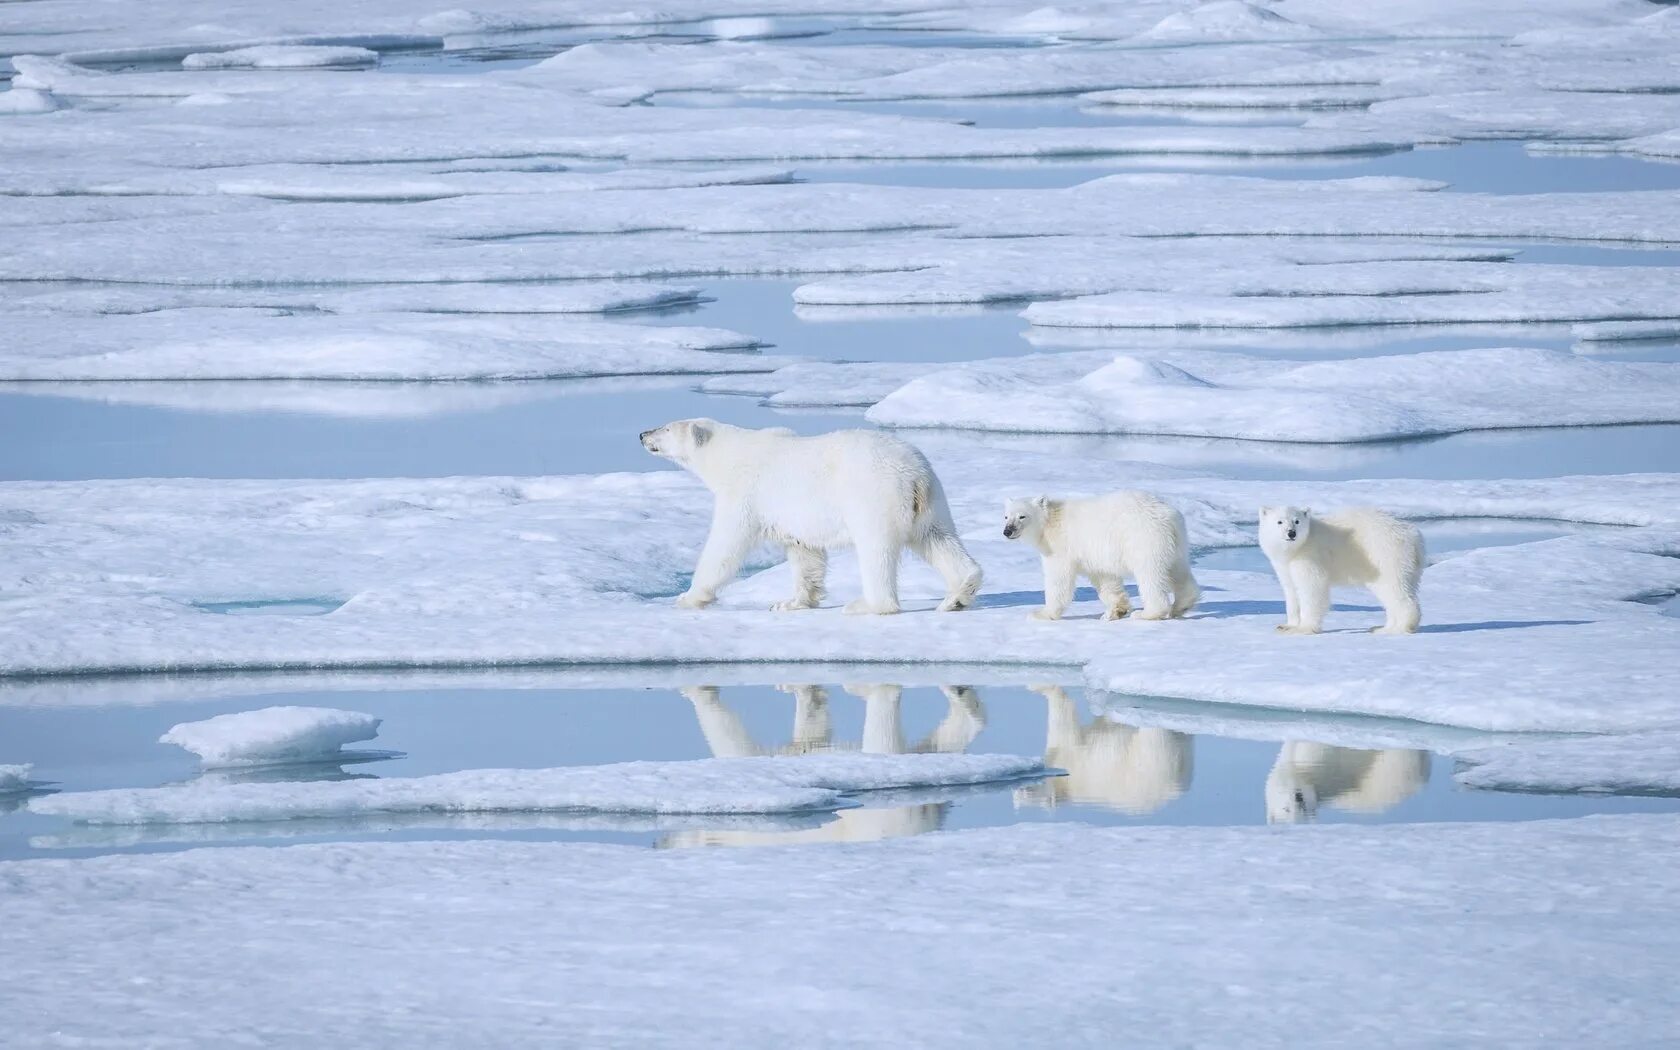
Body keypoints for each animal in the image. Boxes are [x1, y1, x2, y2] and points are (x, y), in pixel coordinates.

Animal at [641, 418, 981, 614]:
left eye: (666, 427)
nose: (643, 434)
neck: (729, 455)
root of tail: (914, 475)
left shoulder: (745, 494)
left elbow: (726, 545)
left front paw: (689, 597)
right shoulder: (793, 516)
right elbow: (805, 553)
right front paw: (791, 602)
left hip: (873, 495)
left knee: (876, 549)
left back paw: (866, 605)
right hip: (931, 502)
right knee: (938, 539)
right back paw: (957, 596)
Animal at [994, 487, 1196, 618]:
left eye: (1022, 516)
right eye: (1006, 516)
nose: (1007, 531)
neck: (1050, 521)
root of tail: (1168, 516)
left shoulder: (1060, 547)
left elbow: (1058, 579)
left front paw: (1042, 612)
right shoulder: (1093, 554)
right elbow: (1105, 579)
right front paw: (1116, 611)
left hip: (1143, 539)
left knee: (1150, 574)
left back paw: (1147, 613)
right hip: (1175, 543)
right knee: (1178, 570)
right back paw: (1182, 606)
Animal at [1263, 507, 1417, 635]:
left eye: (1297, 521)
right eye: (1279, 522)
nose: (1291, 533)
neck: (1296, 549)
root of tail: (1414, 536)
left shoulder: (1310, 556)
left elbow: (1312, 589)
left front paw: (1304, 629)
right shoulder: (1284, 565)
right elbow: (1291, 590)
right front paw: (1286, 626)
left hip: (1385, 554)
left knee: (1394, 589)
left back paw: (1400, 628)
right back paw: (1382, 628)